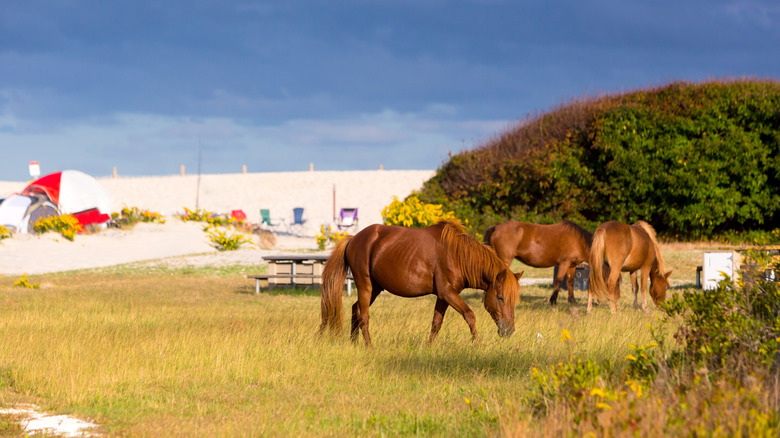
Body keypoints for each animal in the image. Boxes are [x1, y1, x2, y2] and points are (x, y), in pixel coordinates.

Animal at [319, 221, 523, 346]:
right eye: (500, 297)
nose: (509, 330)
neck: (457, 255)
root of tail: (353, 239)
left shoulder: (444, 296)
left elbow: (436, 323)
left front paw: (430, 348)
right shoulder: (448, 293)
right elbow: (469, 315)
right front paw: (477, 343)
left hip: (375, 288)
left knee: (356, 310)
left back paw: (354, 344)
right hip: (365, 286)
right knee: (364, 316)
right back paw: (369, 347)